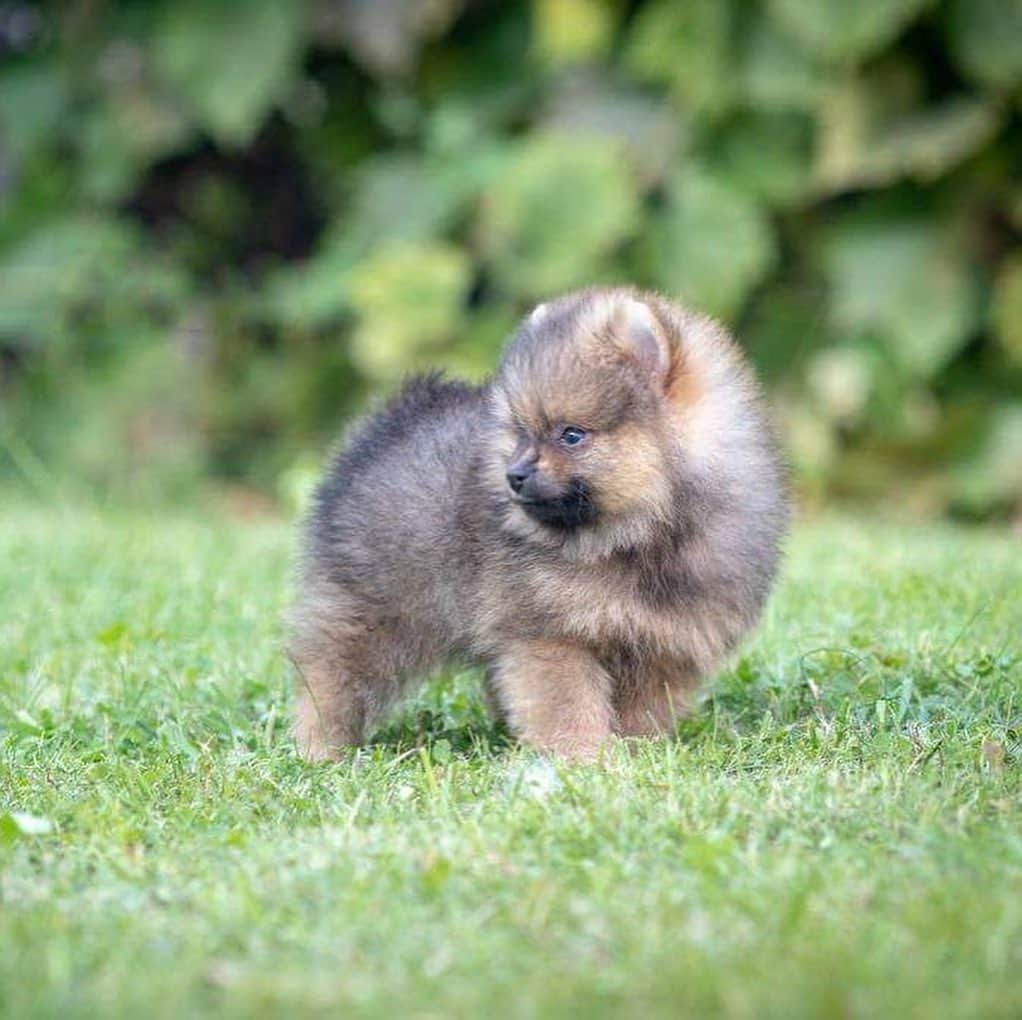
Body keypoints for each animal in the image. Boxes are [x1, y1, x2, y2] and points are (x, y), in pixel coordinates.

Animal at [292, 286, 784, 760]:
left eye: (571, 435)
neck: (640, 537)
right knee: (330, 674)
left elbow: (641, 708)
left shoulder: (662, 644)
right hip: (373, 609)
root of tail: (384, 427)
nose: (514, 474)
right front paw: (581, 759)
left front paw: (636, 752)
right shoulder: (552, 635)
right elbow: (568, 704)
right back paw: (319, 748)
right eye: (523, 433)